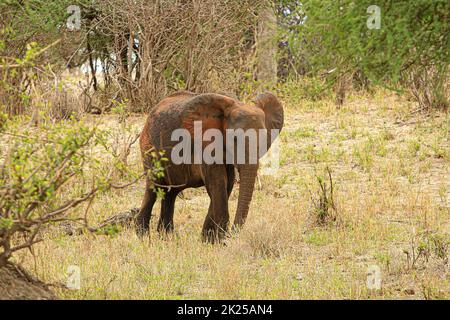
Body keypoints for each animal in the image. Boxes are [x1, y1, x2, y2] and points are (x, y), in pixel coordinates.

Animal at [135, 90, 284, 242]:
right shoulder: (205, 145)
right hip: (149, 149)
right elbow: (218, 182)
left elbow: (227, 184)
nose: (232, 234)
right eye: (234, 139)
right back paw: (144, 238)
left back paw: (166, 237)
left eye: (265, 140)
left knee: (171, 193)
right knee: (154, 187)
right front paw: (219, 240)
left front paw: (208, 240)